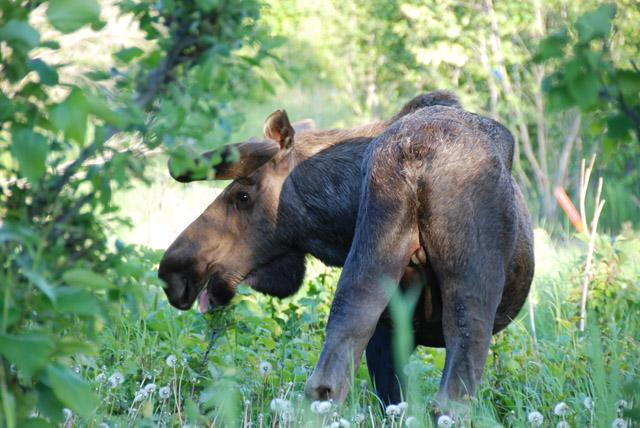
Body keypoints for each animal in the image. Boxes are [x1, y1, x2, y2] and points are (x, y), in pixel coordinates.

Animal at [158, 92, 532, 412]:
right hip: (467, 289)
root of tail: (415, 161)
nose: (174, 272)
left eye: (243, 195)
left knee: (334, 364)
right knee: (453, 389)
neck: (338, 216)